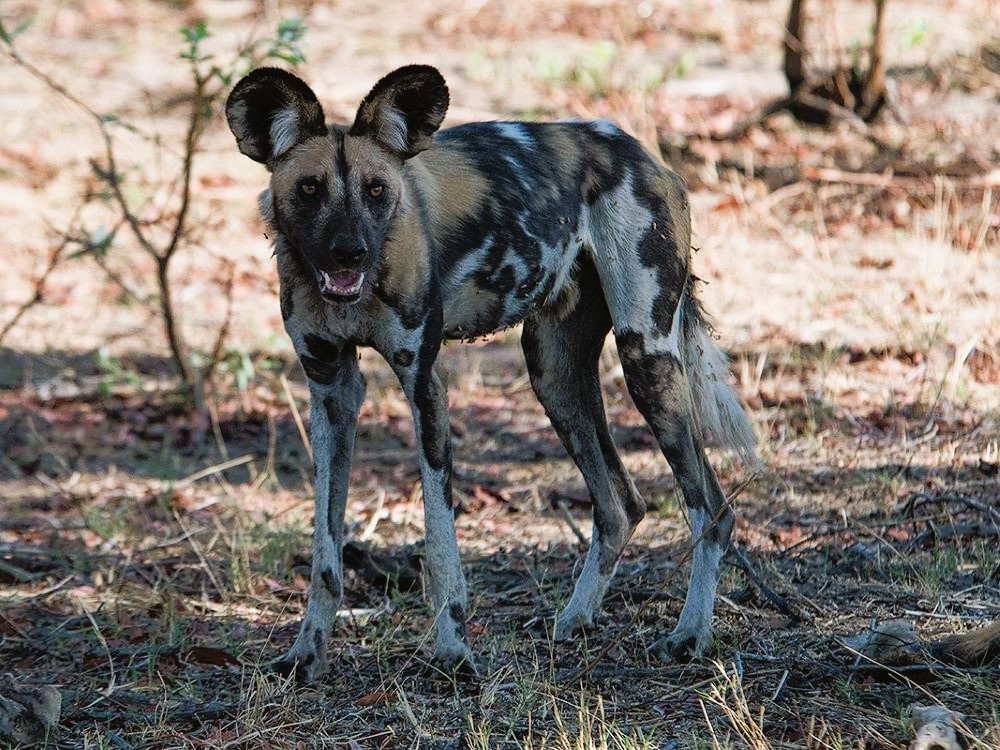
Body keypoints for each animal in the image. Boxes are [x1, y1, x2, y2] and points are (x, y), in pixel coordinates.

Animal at [227, 64, 756, 680]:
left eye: (376, 190)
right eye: (310, 188)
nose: (348, 253)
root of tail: (640, 151)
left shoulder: (424, 384)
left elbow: (439, 542)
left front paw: (453, 654)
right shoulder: (332, 389)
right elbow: (325, 551)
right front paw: (307, 652)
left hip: (645, 357)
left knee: (712, 511)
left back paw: (689, 635)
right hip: (553, 374)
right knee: (620, 506)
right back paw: (575, 620)